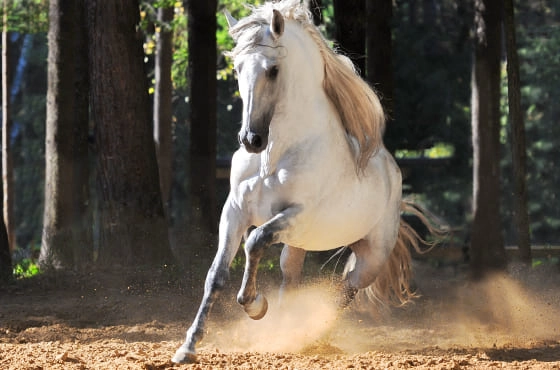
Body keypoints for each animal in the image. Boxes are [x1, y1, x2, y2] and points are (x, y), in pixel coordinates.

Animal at [173, 0, 436, 364]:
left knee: (345, 290)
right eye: (237, 68)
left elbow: (254, 241)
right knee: (291, 278)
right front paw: (188, 347)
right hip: (297, 245)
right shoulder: (235, 211)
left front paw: (255, 305)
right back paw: (283, 333)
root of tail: (393, 175)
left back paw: (309, 336)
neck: (274, 156)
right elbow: (216, 275)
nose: (251, 140)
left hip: (370, 257)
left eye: (272, 69)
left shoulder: (296, 215)